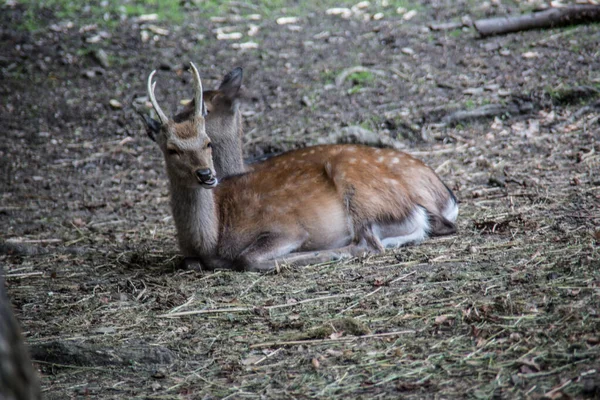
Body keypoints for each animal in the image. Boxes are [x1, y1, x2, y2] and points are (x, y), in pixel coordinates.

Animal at [141, 62, 460, 274]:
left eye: (207, 142)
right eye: (171, 149)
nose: (206, 175)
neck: (211, 238)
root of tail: (447, 198)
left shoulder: (286, 228)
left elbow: (247, 259)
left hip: (361, 196)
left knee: (367, 243)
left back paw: (333, 253)